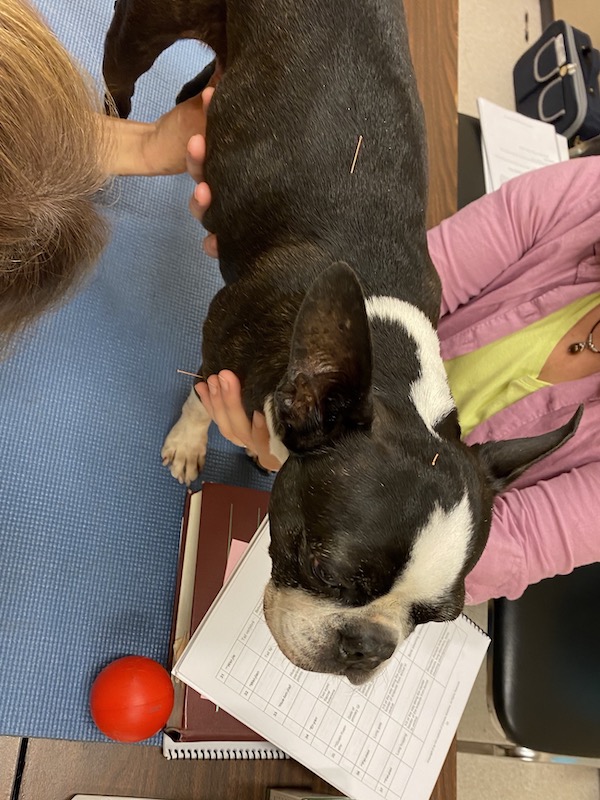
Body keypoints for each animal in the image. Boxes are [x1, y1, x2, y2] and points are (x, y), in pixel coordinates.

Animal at [103, 0, 580, 688]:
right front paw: (190, 444)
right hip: (144, 29)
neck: (390, 361)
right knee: (122, 76)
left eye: (436, 619)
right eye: (327, 573)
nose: (370, 647)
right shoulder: (221, 338)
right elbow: (199, 394)